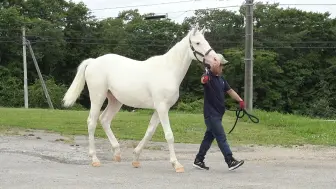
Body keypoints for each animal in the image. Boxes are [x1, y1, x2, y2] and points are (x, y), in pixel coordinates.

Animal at [62, 25, 220, 173]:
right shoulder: (162, 108)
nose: (216, 60)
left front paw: (136, 158)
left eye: (206, 41)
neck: (168, 70)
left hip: (115, 101)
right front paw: (176, 164)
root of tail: (93, 61)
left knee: (105, 119)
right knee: (92, 122)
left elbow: (149, 132)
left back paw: (117, 153)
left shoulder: (159, 109)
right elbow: (169, 135)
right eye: (198, 43)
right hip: (97, 97)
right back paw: (95, 159)